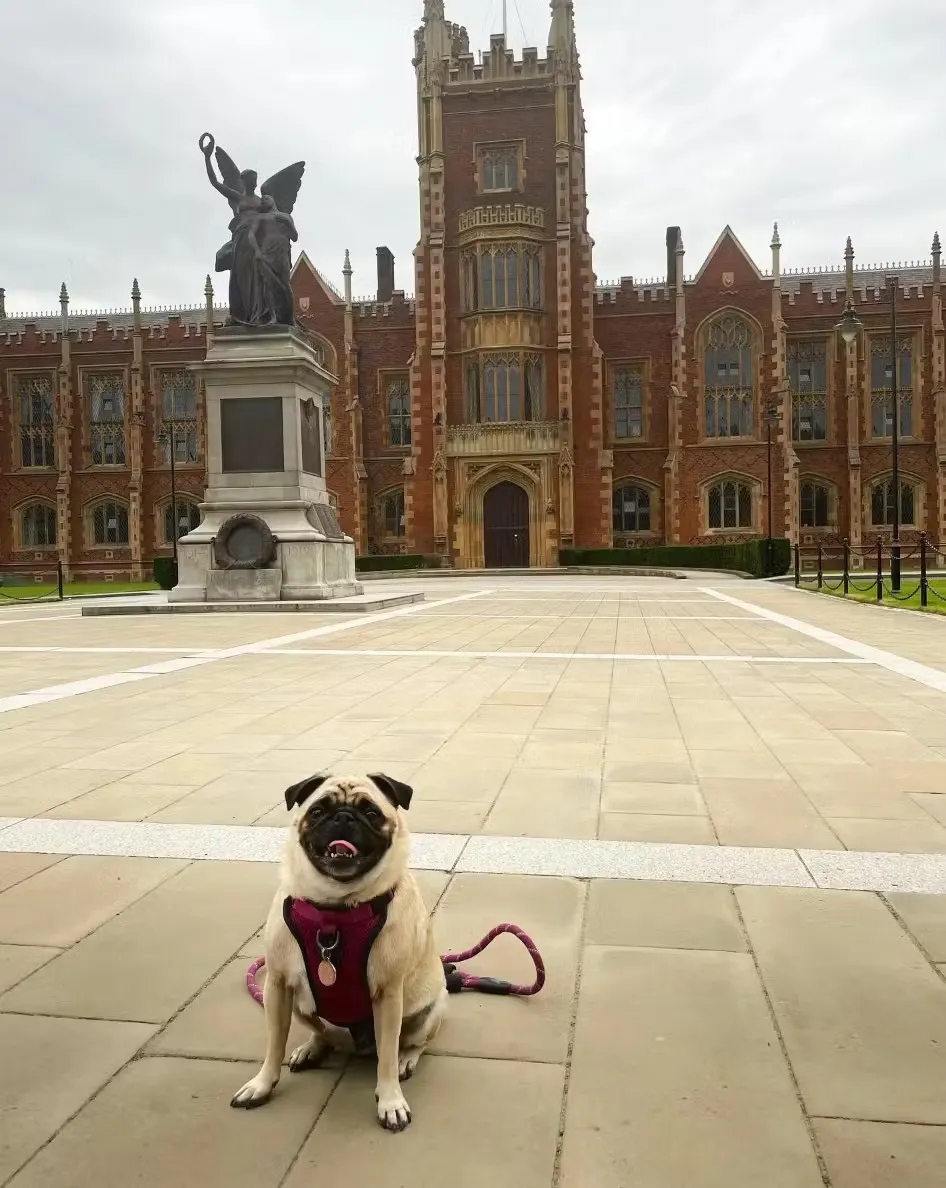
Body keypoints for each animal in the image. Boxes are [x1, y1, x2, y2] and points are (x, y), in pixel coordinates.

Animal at [230, 772, 447, 1132]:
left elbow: (387, 1058)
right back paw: (311, 1048)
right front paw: (262, 1084)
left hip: (429, 1011)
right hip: (297, 1004)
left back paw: (407, 1059)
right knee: (322, 1032)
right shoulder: (277, 985)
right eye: (318, 811)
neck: (334, 910)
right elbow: (274, 1044)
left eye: (371, 813)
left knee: (414, 1043)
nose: (343, 817)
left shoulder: (389, 995)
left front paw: (390, 1100)